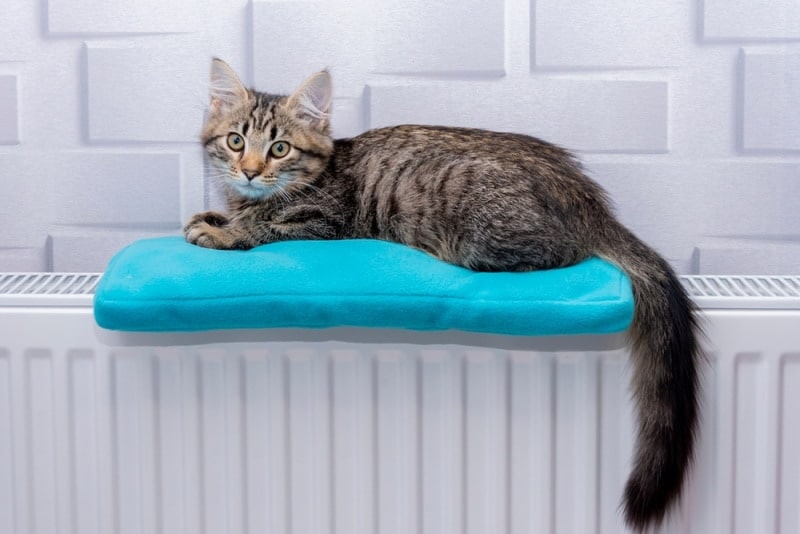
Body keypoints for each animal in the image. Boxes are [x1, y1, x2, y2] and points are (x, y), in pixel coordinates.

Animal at [186, 58, 700, 532]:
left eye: (279, 148)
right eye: (235, 141)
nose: (249, 172)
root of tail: (588, 201)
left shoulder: (325, 224)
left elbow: (265, 228)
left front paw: (224, 232)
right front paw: (214, 216)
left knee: (559, 253)